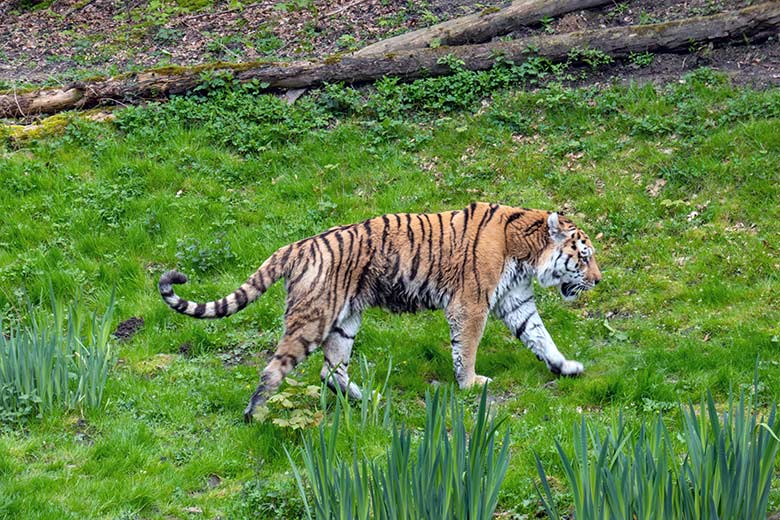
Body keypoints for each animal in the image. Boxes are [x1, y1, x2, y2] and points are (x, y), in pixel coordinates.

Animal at [157, 203, 596, 422]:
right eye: (585, 256)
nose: (598, 279)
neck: (527, 251)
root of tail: (296, 245)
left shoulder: (515, 300)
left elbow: (540, 335)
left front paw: (567, 367)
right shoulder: (471, 304)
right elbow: (467, 348)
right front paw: (471, 384)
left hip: (345, 322)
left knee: (330, 371)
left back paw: (370, 400)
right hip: (313, 319)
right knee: (273, 369)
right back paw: (255, 415)